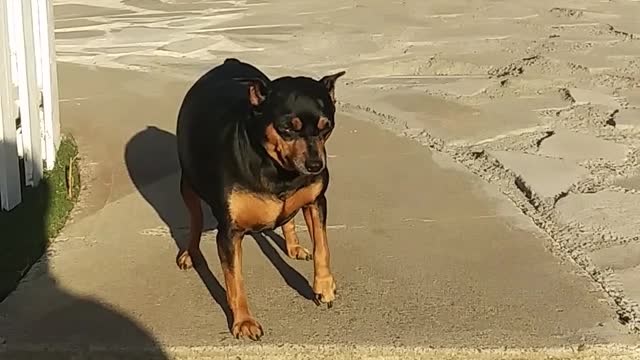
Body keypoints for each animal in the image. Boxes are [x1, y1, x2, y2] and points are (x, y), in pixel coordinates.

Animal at [175, 59, 344, 340]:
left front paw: (324, 286)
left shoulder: (317, 201)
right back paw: (190, 252)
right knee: (195, 217)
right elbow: (235, 281)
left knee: (288, 219)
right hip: (188, 182)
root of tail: (229, 62)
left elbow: (323, 246)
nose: (315, 165)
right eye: (287, 128)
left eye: (326, 127)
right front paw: (243, 321)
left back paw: (293, 246)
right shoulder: (229, 232)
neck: (280, 172)